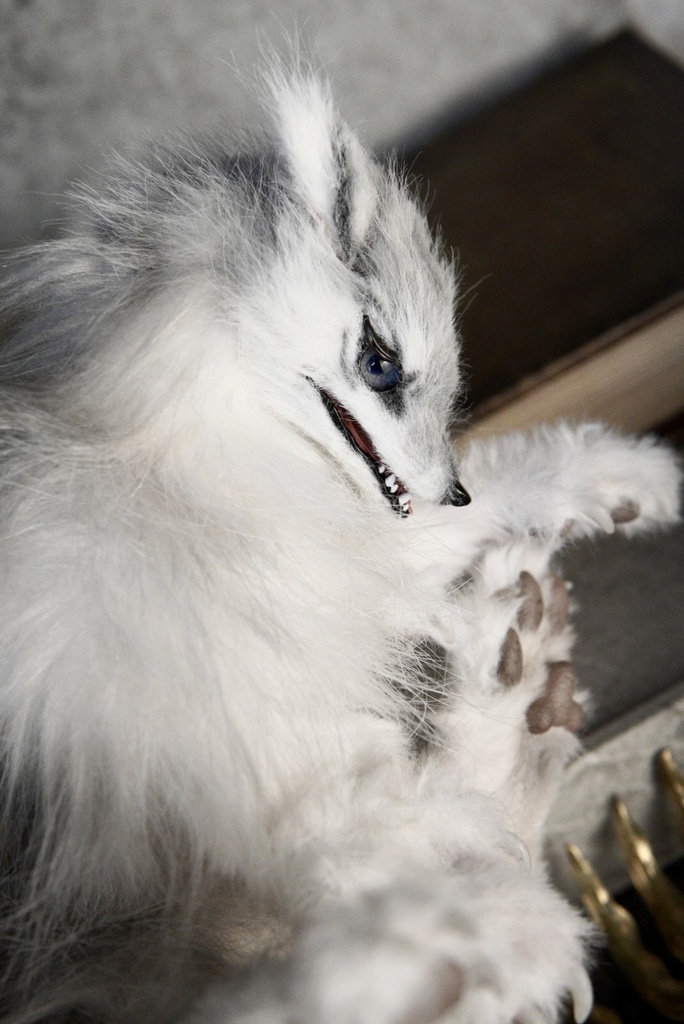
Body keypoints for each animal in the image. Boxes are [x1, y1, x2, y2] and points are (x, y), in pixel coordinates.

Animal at [0, 69, 680, 1024]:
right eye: (380, 363)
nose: (452, 486)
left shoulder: (340, 577)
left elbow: (494, 496)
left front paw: (630, 479)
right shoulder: (256, 732)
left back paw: (517, 692)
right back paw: (479, 931)